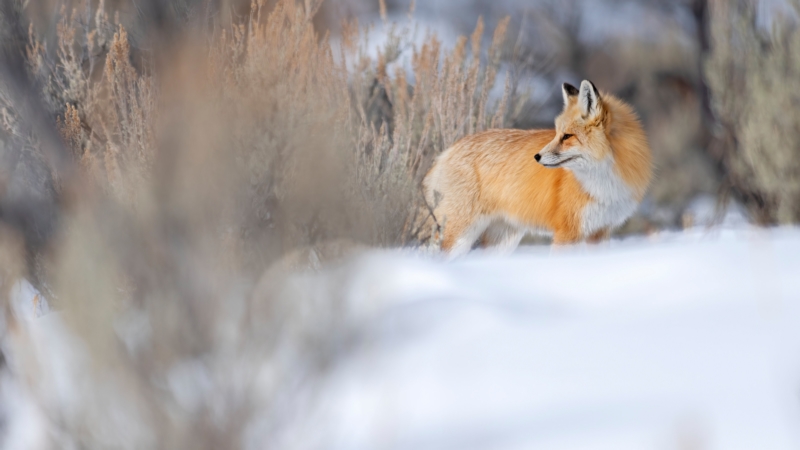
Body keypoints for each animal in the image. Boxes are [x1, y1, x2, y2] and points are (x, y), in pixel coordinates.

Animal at [422, 81, 652, 256]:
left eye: (567, 136)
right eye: (557, 133)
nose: (537, 156)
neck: (603, 182)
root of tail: (447, 150)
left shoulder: (600, 231)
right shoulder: (568, 231)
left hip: (502, 241)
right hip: (459, 236)